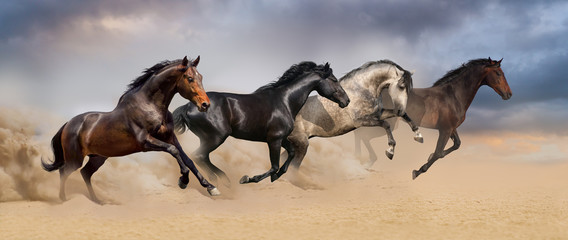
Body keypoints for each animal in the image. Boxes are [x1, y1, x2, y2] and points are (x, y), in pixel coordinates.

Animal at [41, 55, 220, 202]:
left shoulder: (170, 137)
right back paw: (64, 199)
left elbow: (187, 159)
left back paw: (97, 201)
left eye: (200, 77)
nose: (205, 105)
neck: (149, 105)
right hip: (75, 159)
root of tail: (68, 124)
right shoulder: (145, 142)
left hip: (98, 157)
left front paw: (211, 187)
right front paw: (183, 181)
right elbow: (173, 151)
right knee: (64, 172)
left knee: (86, 173)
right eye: (189, 78)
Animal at [173, 61, 350, 184]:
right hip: (216, 137)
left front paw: (276, 177)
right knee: (199, 155)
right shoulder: (274, 140)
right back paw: (222, 180)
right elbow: (274, 166)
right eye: (334, 80)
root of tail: (188, 107)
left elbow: (291, 154)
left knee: (202, 157)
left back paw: (220, 180)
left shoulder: (281, 139)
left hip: (208, 138)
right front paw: (248, 179)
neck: (284, 101)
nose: (346, 101)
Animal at [286, 60, 420, 172]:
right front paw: (390, 151)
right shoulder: (360, 121)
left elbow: (404, 117)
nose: (400, 110)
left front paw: (418, 135)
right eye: (401, 86)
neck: (362, 90)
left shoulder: (378, 114)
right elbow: (386, 124)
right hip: (300, 142)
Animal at [356, 57, 510, 179]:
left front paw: (428, 157)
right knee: (363, 134)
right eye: (498, 73)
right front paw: (417, 172)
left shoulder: (451, 128)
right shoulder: (445, 130)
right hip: (389, 123)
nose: (509, 94)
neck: (453, 96)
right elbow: (438, 152)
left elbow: (455, 145)